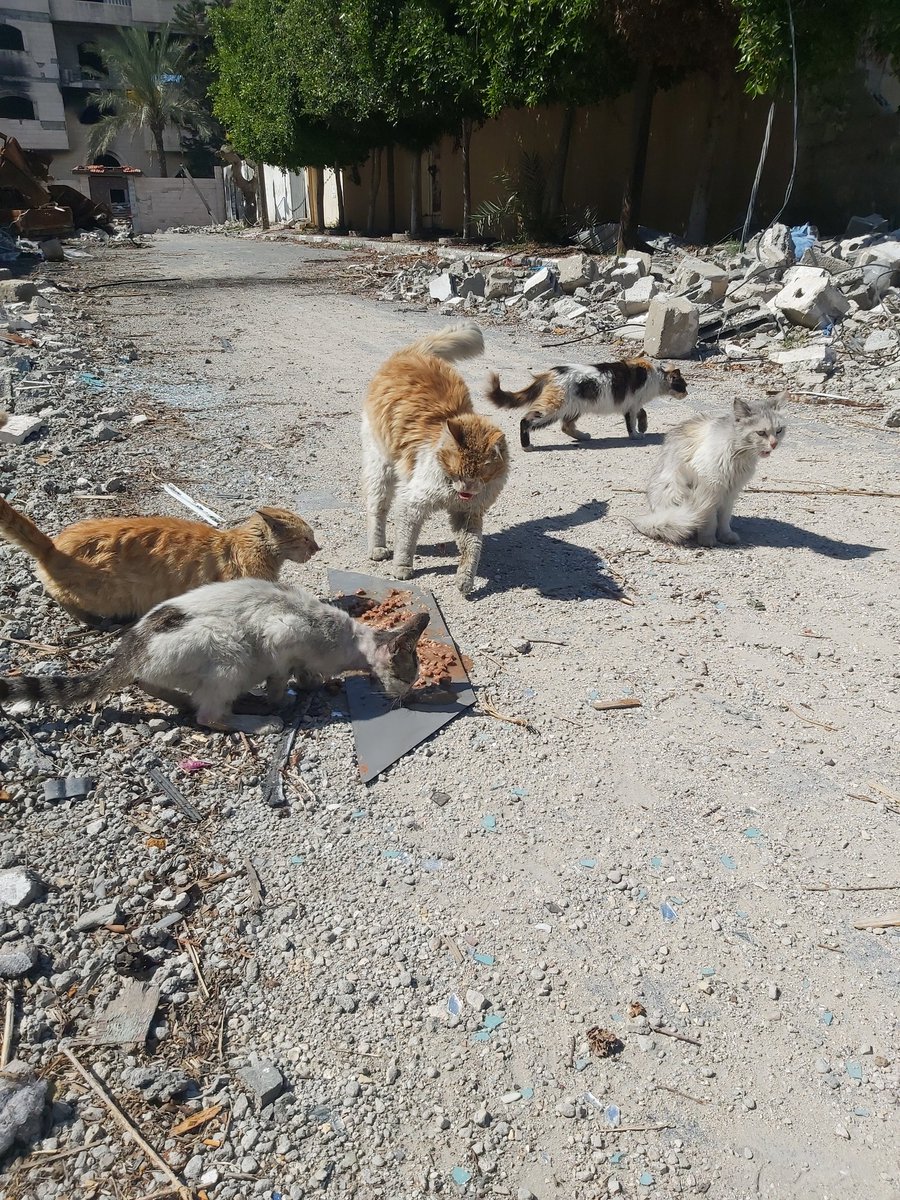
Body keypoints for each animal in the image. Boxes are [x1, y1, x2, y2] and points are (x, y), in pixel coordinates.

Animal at [0, 578, 429, 734]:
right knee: (209, 716)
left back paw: (182, 699)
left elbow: (306, 674)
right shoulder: (281, 637)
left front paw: (314, 684)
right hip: (230, 653)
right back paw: (259, 718)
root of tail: (133, 647)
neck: (347, 640)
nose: (409, 695)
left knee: (150, 685)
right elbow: (282, 678)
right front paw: (283, 699)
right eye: (407, 676)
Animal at [362, 324, 511, 595]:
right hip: (381, 465)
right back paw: (378, 549)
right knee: (377, 509)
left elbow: (472, 549)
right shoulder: (413, 503)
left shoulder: (468, 514)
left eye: (479, 475)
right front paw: (403, 568)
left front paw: (465, 580)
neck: (451, 492)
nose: (465, 490)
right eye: (458, 472)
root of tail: (412, 353)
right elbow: (406, 541)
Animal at [489, 360, 686, 451]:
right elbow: (632, 423)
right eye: (684, 385)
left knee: (566, 426)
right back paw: (527, 446)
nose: (687, 393)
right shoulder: (631, 406)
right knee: (526, 421)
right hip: (553, 408)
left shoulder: (634, 404)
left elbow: (643, 413)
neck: (655, 376)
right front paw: (637, 434)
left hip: (574, 408)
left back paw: (583, 436)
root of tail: (552, 372)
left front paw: (643, 427)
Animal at [633, 396, 787, 547]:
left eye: (779, 430)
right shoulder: (710, 488)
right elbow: (710, 519)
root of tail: (654, 515)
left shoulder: (730, 492)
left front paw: (725, 535)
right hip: (674, 489)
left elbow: (724, 519)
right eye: (761, 433)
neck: (739, 453)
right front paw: (707, 539)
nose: (774, 444)